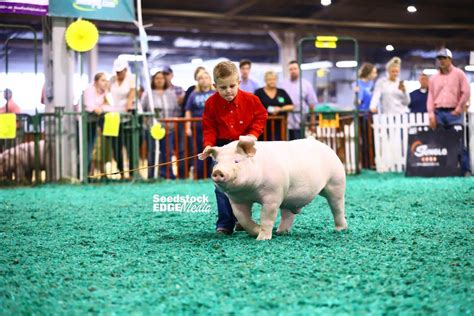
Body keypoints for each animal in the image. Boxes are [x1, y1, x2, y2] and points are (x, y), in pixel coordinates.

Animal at [198, 135, 346, 241]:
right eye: (217, 162)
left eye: (236, 161)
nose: (218, 171)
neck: (249, 191)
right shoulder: (237, 200)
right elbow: (243, 218)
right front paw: (256, 231)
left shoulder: (273, 195)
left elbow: (267, 217)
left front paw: (262, 239)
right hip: (289, 196)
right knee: (287, 214)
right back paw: (280, 232)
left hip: (336, 181)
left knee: (337, 206)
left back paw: (341, 229)